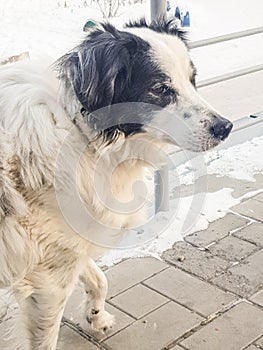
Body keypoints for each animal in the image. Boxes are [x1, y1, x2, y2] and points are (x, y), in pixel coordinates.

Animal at [0, 17, 233, 348]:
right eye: (160, 88)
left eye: (192, 79)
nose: (225, 127)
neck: (81, 130)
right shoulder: (48, 280)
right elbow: (46, 337)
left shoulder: (69, 244)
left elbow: (99, 278)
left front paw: (96, 315)